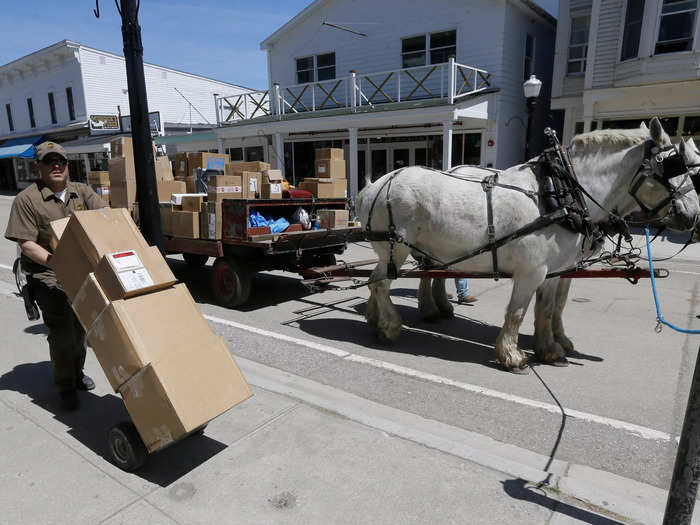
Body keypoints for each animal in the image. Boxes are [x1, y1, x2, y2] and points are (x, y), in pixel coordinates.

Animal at [356, 118, 700, 372]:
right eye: (673, 168)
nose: (693, 217)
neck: (561, 193)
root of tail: (375, 185)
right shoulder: (531, 271)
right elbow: (517, 312)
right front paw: (513, 355)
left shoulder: (555, 271)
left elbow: (549, 309)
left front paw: (551, 349)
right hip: (396, 248)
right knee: (381, 283)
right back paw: (390, 326)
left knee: (379, 281)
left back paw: (378, 319)